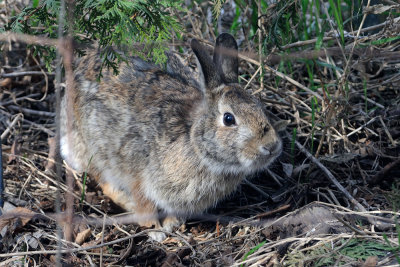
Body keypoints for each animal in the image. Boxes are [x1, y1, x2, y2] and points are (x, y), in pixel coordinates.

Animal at [60, 33, 282, 243]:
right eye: (229, 118)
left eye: (260, 107)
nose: (271, 146)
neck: (195, 143)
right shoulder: (138, 175)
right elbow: (144, 204)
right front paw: (155, 231)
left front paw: (171, 224)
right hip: (92, 148)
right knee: (102, 180)